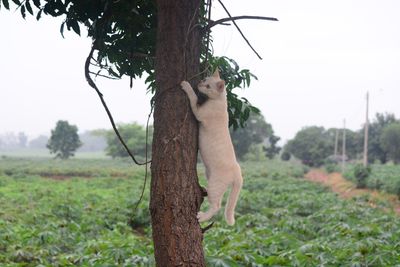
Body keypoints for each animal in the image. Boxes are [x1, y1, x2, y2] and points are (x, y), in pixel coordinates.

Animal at [182, 69, 244, 226]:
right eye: (204, 79)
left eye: (208, 86)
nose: (199, 83)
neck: (220, 100)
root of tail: (238, 171)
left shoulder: (198, 112)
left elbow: (193, 97)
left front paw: (186, 85)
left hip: (214, 185)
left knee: (217, 206)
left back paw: (202, 217)